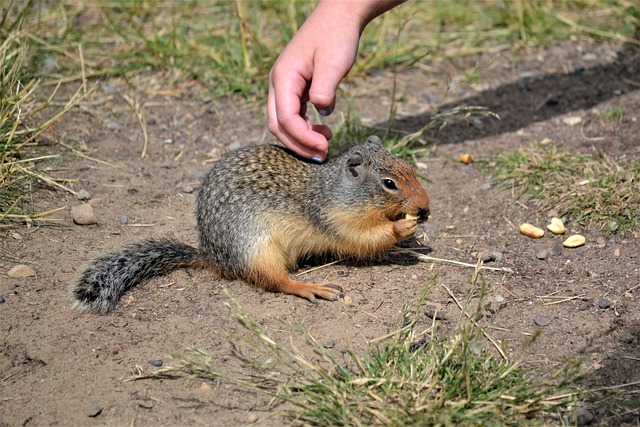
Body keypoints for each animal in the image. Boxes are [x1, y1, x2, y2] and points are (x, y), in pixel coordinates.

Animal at [71, 136, 430, 314]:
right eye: (389, 184)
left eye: (410, 166)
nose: (425, 208)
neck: (335, 189)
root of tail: (214, 257)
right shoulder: (334, 218)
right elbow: (361, 238)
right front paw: (402, 229)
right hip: (258, 248)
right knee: (276, 281)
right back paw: (311, 287)